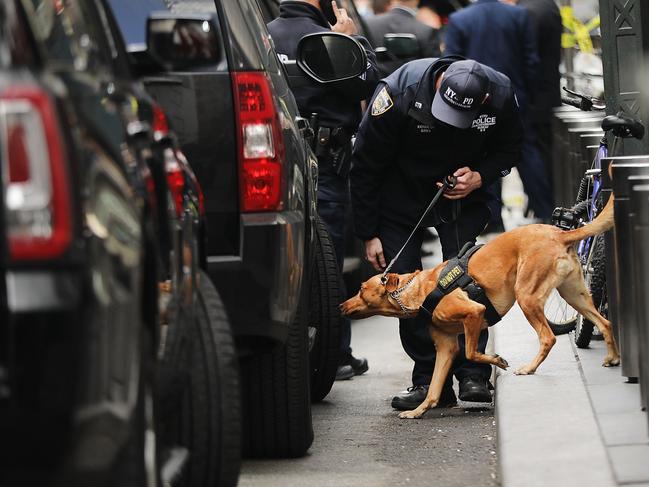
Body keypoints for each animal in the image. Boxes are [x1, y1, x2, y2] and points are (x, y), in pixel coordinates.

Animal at [340, 196, 616, 418]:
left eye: (361, 289)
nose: (341, 305)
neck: (419, 290)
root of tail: (559, 233)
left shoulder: (474, 313)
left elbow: (472, 353)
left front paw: (498, 361)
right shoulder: (446, 347)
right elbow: (434, 388)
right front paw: (418, 411)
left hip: (527, 297)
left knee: (548, 337)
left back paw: (529, 368)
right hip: (574, 295)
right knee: (605, 322)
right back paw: (613, 358)